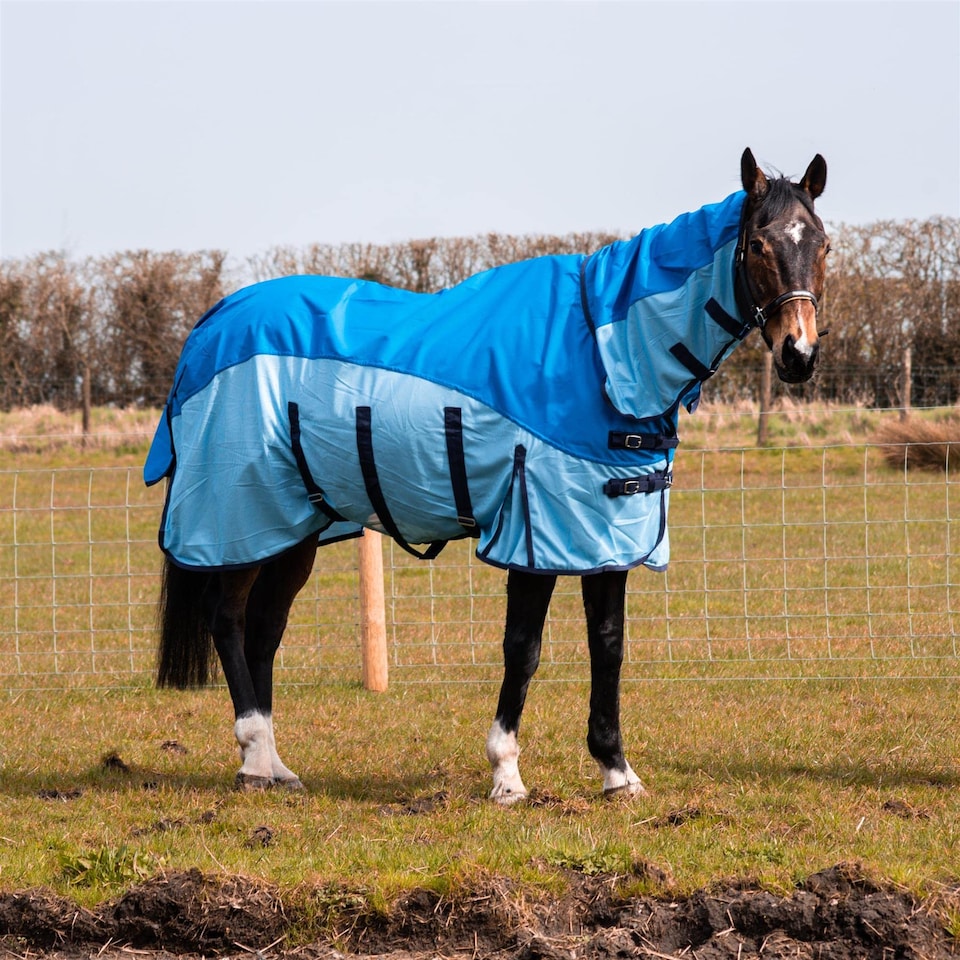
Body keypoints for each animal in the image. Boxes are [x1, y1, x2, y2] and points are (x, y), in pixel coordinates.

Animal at [147, 148, 828, 802]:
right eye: (758, 245)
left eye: (822, 245)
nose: (799, 354)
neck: (601, 352)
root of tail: (210, 325)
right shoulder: (534, 531)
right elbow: (522, 650)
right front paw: (507, 776)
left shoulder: (605, 534)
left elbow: (608, 646)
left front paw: (616, 771)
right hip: (239, 517)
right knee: (229, 621)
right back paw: (253, 761)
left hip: (294, 528)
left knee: (264, 629)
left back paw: (276, 764)